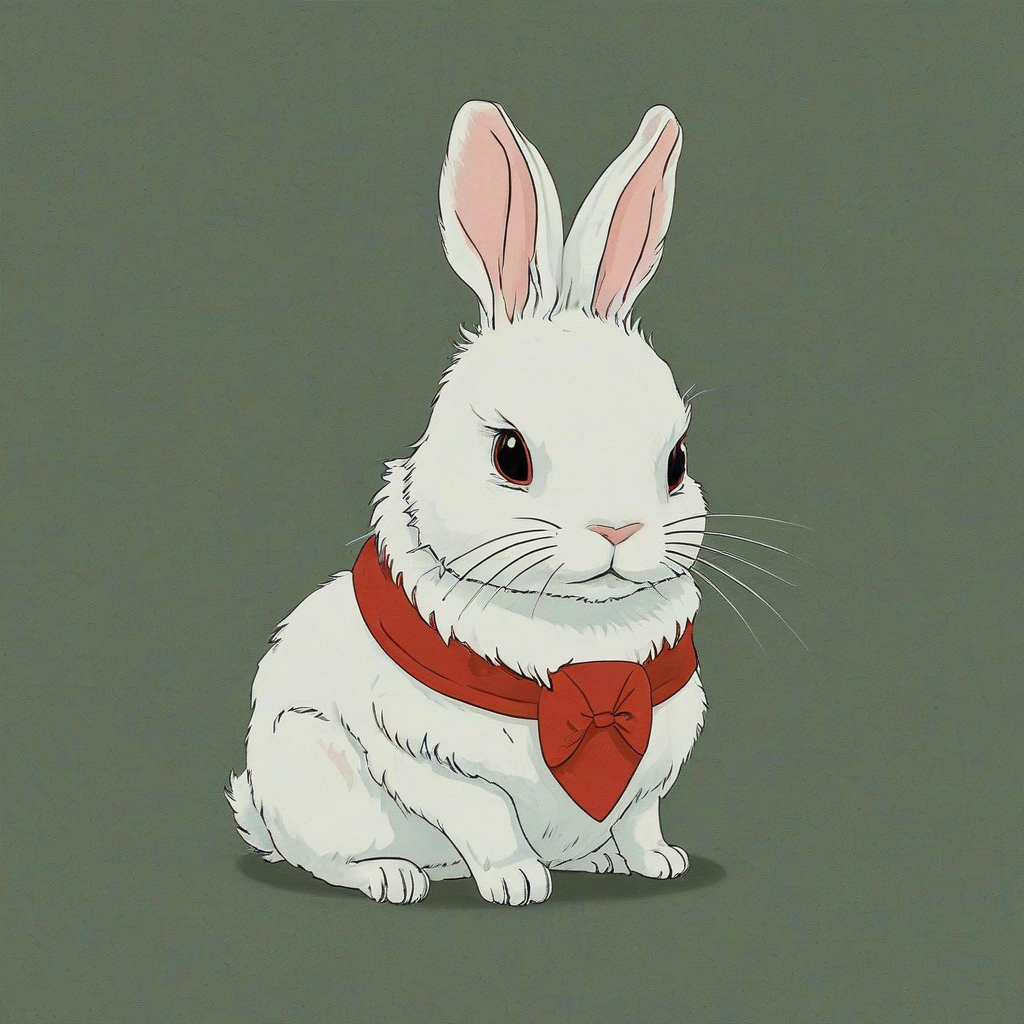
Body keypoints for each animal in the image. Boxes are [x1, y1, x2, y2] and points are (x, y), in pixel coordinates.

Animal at [226, 100, 709, 905]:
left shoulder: (650, 770)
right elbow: (489, 819)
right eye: (510, 455)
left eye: (676, 462)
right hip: (314, 766)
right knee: (323, 857)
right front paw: (518, 884)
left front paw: (660, 862)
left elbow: (642, 817)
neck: (583, 645)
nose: (617, 530)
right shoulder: (428, 757)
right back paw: (394, 877)